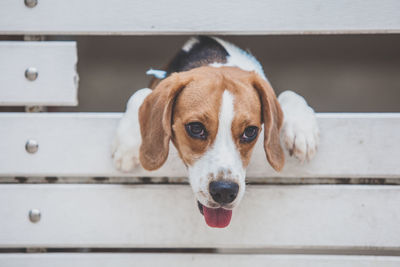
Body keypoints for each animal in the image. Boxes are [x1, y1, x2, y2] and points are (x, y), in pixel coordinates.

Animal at [111, 36, 318, 229]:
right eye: (196, 128)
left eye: (250, 131)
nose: (225, 191)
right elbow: (140, 93)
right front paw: (127, 148)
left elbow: (288, 94)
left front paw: (302, 130)